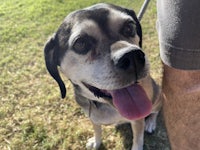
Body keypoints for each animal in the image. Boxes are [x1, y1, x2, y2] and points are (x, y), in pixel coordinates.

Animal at [44, 2, 162, 149]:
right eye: (81, 43)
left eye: (129, 27)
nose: (132, 57)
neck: (104, 105)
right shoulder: (93, 118)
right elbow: (97, 130)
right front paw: (96, 142)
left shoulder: (138, 121)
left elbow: (138, 140)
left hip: (157, 96)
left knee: (156, 111)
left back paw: (151, 123)